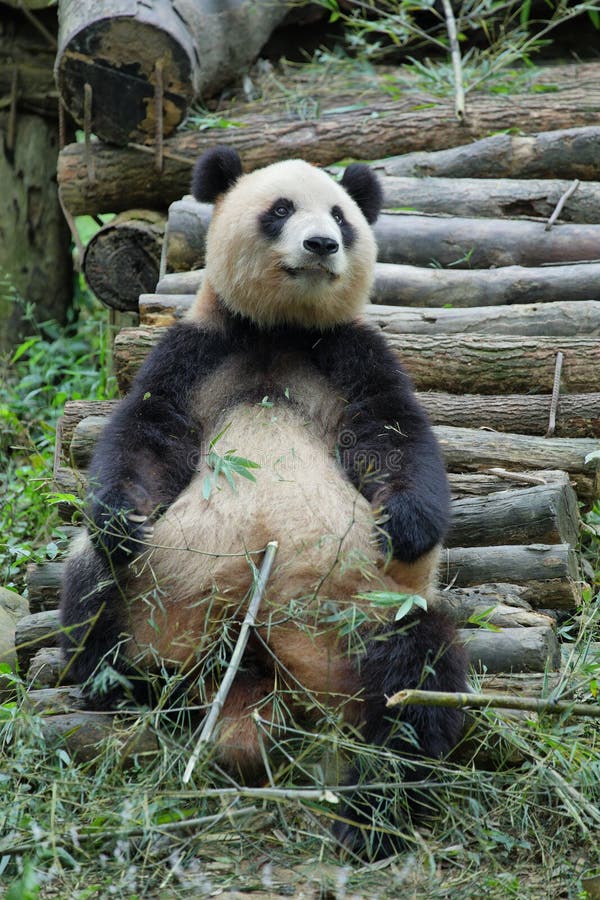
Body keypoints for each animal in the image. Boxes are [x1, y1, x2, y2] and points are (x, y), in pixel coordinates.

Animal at [61, 146, 467, 858]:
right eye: (280, 209)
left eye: (341, 216)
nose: (321, 243)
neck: (281, 330)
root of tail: (258, 664)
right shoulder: (197, 351)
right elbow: (148, 436)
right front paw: (119, 517)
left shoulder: (351, 352)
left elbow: (392, 435)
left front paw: (407, 525)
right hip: (156, 597)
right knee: (96, 587)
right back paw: (116, 682)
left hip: (365, 614)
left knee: (416, 679)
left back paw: (373, 810)